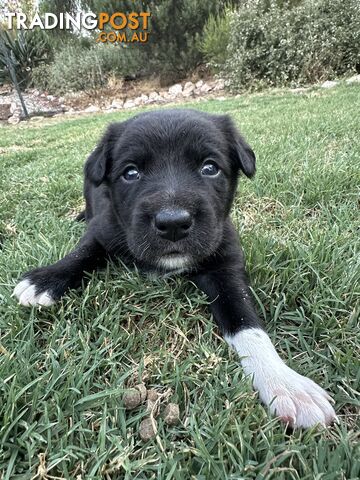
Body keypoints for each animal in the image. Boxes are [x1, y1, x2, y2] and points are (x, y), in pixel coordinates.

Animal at [13, 108, 334, 428]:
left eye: (210, 168)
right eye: (131, 173)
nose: (173, 224)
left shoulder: (225, 262)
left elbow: (246, 323)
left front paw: (284, 382)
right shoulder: (103, 228)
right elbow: (82, 252)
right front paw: (45, 280)